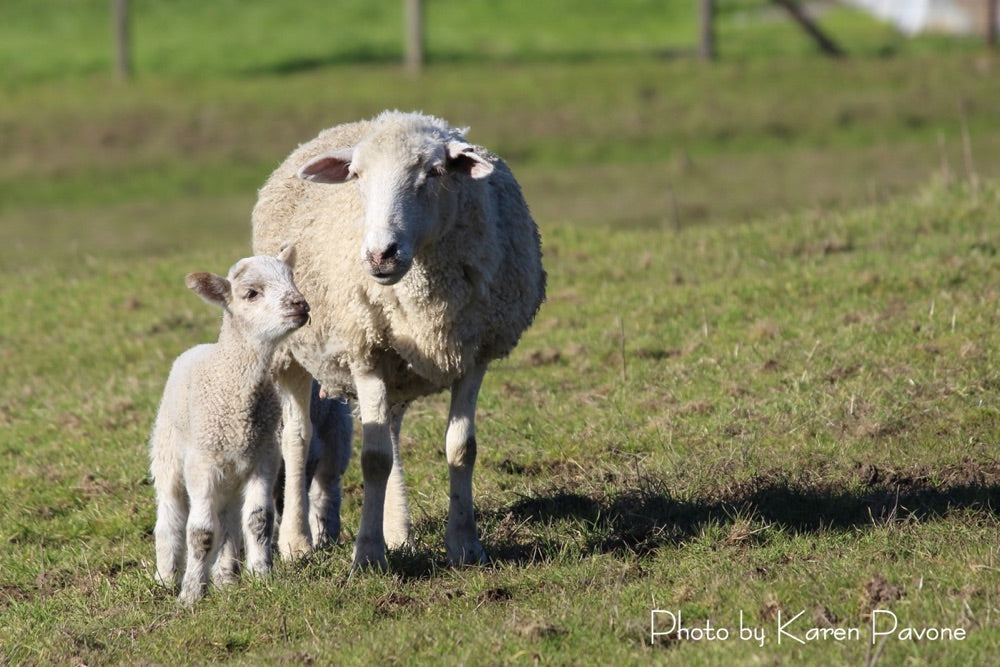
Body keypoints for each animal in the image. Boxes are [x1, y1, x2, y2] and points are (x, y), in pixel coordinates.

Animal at [148, 249, 308, 604]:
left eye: (291, 278)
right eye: (251, 293)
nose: (300, 304)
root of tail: (199, 348)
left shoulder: (264, 456)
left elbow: (259, 519)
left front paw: (261, 576)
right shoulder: (202, 463)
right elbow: (200, 532)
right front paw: (191, 593)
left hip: (233, 475)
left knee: (229, 519)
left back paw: (225, 577)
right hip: (168, 451)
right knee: (170, 514)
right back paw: (165, 578)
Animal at [250, 112, 548, 572]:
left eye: (435, 172)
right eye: (356, 175)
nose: (380, 255)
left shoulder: (474, 352)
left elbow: (461, 448)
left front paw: (464, 545)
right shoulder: (365, 352)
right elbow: (373, 460)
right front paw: (368, 556)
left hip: (395, 369)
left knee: (388, 431)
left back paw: (399, 533)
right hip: (291, 351)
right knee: (298, 438)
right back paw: (297, 542)